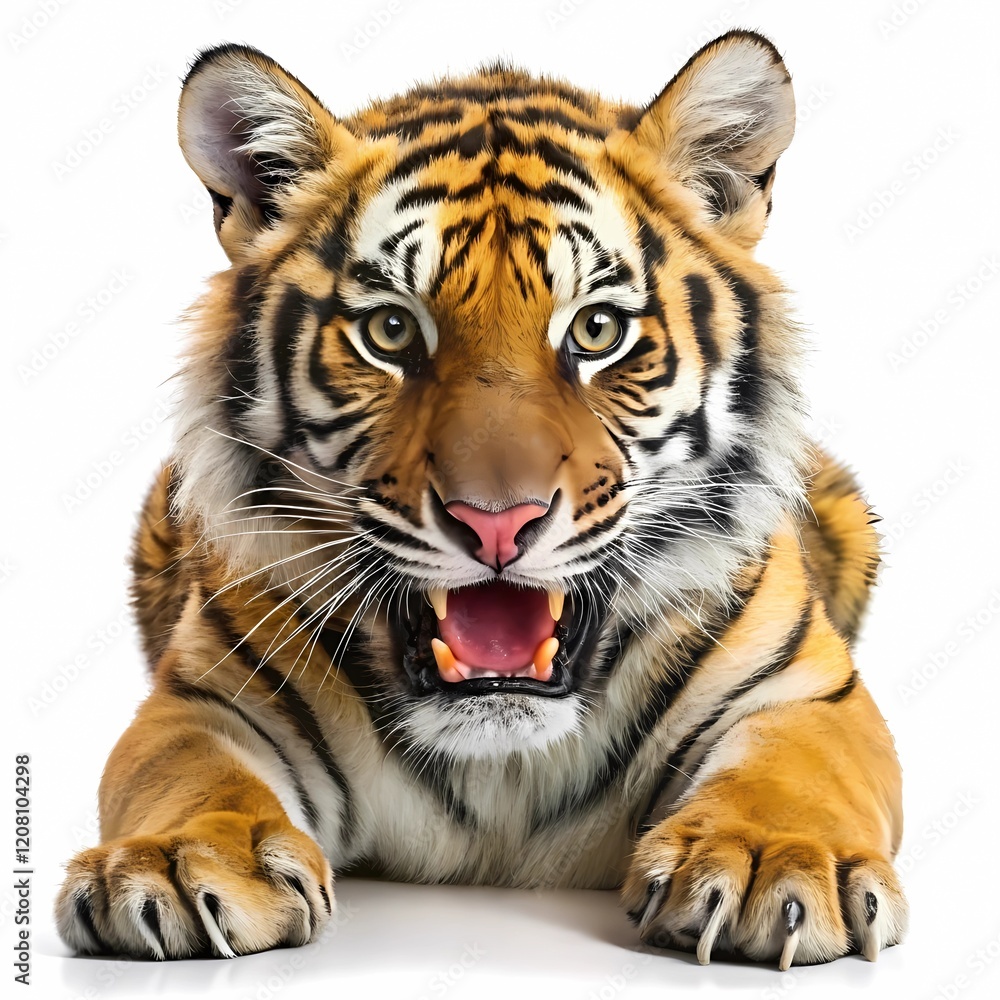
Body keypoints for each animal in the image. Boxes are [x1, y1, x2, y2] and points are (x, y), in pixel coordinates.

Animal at [55, 30, 907, 968]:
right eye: (390, 331)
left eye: (597, 331)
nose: (497, 521)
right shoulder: (205, 700)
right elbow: (189, 776)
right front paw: (177, 863)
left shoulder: (803, 695)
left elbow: (790, 778)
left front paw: (765, 861)